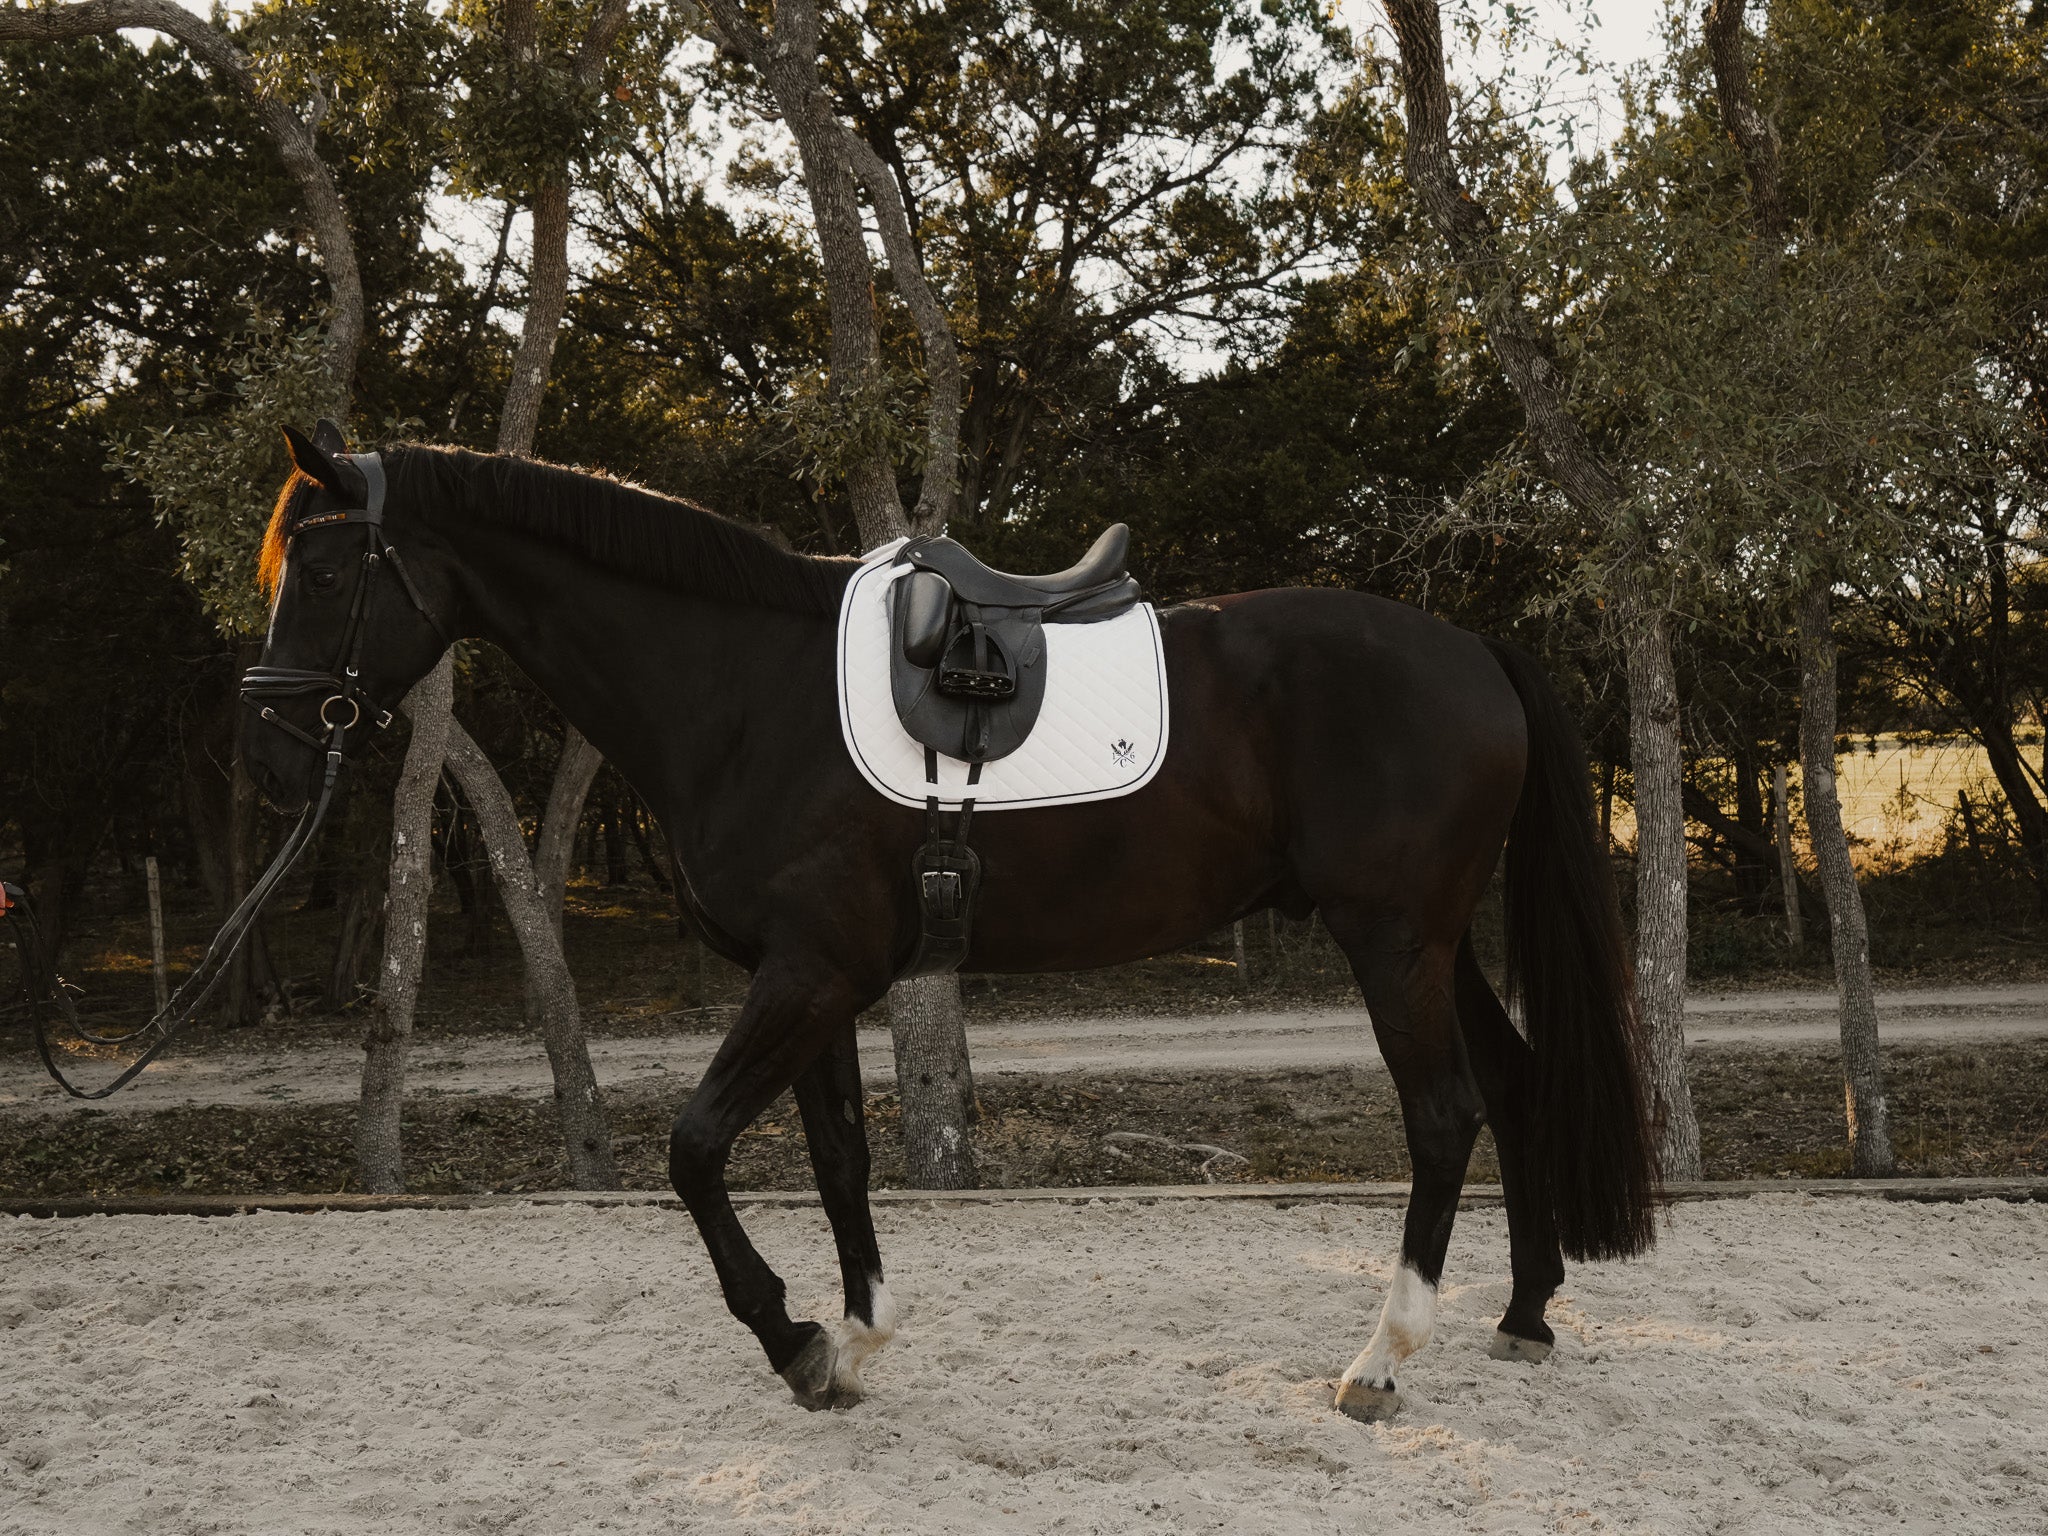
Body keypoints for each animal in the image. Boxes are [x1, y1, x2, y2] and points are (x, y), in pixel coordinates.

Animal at [245, 424, 1658, 1422]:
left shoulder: (806, 975)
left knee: (1444, 1115)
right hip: (1429, 941)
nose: (269, 746)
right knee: (1514, 1089)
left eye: (324, 567)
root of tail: (1470, 648)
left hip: (1390, 940)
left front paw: (792, 1338)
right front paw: (852, 1341)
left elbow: (694, 1151)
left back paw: (1377, 1361)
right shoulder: (810, 983)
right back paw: (1525, 1314)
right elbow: (836, 1161)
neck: (744, 693)